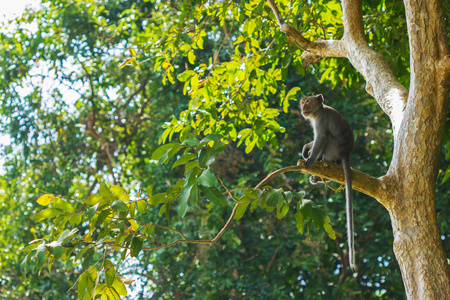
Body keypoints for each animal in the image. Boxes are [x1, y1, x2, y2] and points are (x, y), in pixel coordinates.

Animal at [300, 94, 356, 272]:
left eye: (308, 101)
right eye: (303, 102)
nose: (303, 106)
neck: (319, 111)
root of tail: (346, 154)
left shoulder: (321, 120)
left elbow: (321, 137)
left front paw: (311, 158)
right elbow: (315, 140)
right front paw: (306, 147)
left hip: (334, 148)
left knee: (327, 140)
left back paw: (320, 162)